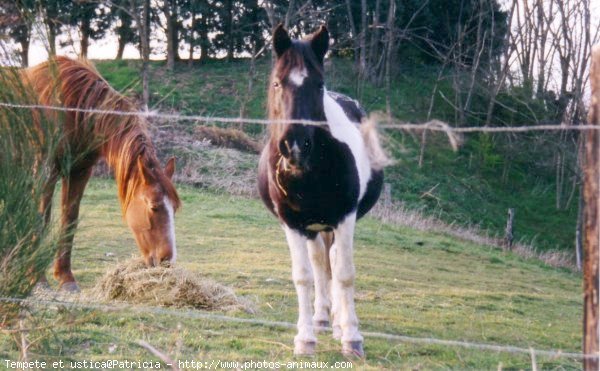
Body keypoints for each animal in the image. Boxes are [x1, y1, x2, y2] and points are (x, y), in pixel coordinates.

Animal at [20, 56, 180, 292]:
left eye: (175, 208)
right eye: (154, 206)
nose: (167, 261)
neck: (72, 108)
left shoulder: (79, 172)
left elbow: (70, 219)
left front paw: (66, 278)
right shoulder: (45, 171)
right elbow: (42, 220)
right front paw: (38, 280)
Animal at [258, 25, 390, 358]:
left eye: (318, 85)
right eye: (277, 82)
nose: (295, 146)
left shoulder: (345, 217)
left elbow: (344, 273)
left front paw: (352, 337)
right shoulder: (292, 224)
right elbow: (304, 276)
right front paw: (304, 339)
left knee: (331, 261)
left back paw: (340, 323)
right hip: (313, 227)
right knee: (319, 263)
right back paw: (320, 318)